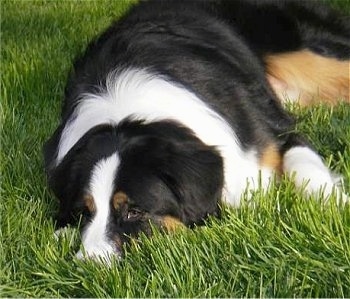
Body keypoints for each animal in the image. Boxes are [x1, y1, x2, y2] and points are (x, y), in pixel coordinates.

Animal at [44, 0, 350, 262]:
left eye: (133, 211)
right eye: (84, 212)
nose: (88, 264)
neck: (129, 115)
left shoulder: (275, 130)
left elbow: (304, 166)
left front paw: (334, 202)